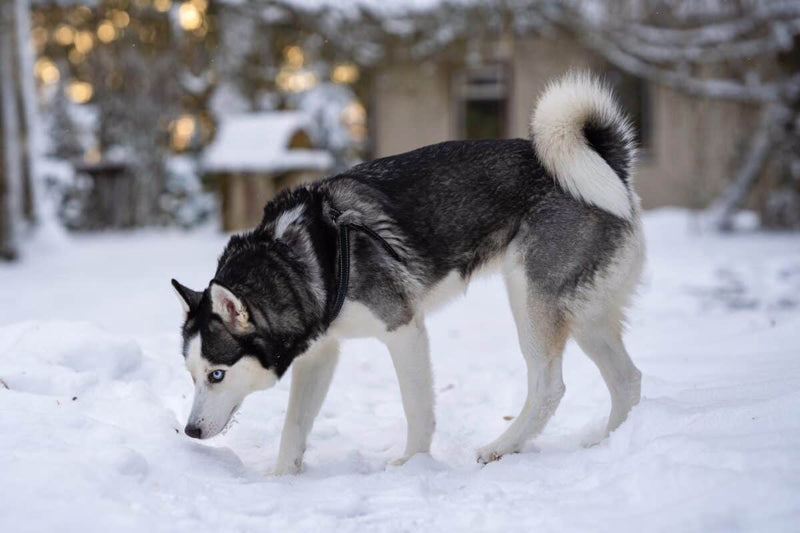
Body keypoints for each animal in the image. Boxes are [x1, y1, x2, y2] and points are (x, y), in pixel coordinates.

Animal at [173, 71, 644, 474]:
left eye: (216, 374)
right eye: (191, 375)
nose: (190, 431)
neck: (297, 260)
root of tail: (610, 165)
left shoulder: (403, 330)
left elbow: (416, 407)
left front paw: (412, 463)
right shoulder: (320, 354)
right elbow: (294, 427)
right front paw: (280, 477)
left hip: (531, 301)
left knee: (550, 387)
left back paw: (502, 446)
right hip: (584, 315)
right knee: (628, 380)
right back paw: (610, 442)